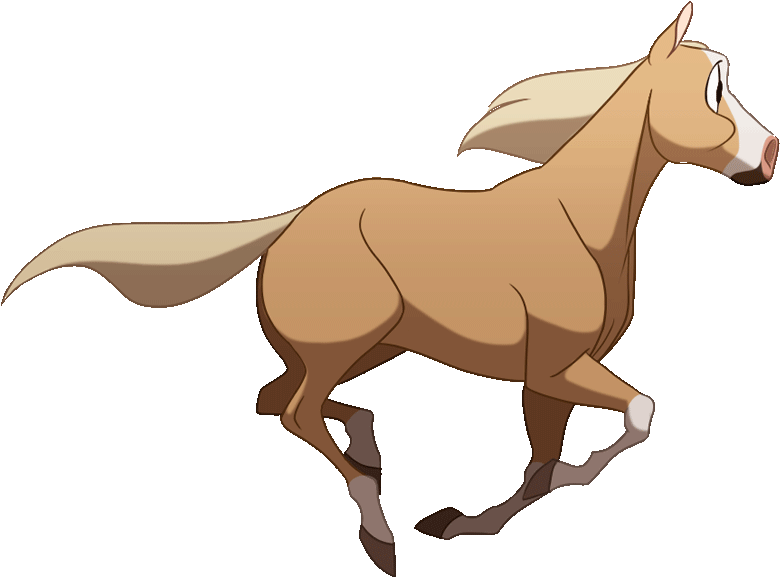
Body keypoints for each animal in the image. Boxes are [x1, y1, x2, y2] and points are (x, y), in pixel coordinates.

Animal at [3, 3, 776, 575]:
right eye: (715, 88)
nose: (770, 154)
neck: (582, 223)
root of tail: (293, 223)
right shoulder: (556, 366)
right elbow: (637, 415)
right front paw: (461, 517)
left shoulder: (549, 378)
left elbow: (546, 464)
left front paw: (464, 523)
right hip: (344, 345)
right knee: (295, 411)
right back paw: (376, 525)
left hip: (372, 347)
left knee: (275, 400)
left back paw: (370, 452)